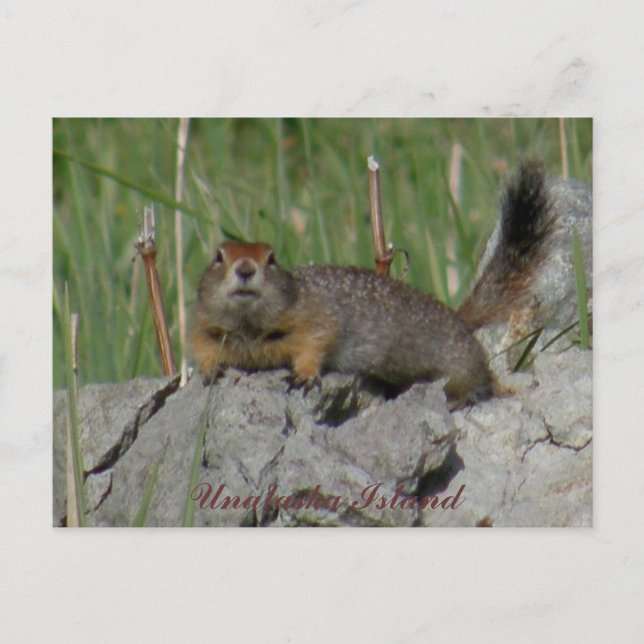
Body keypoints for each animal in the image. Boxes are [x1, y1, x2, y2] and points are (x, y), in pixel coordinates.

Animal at [191, 159, 555, 406]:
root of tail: (459, 319)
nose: (245, 269)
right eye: (218, 256)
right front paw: (208, 370)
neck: (249, 326)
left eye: (271, 258)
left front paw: (304, 374)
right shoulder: (205, 325)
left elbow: (318, 339)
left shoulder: (312, 314)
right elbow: (203, 347)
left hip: (460, 364)